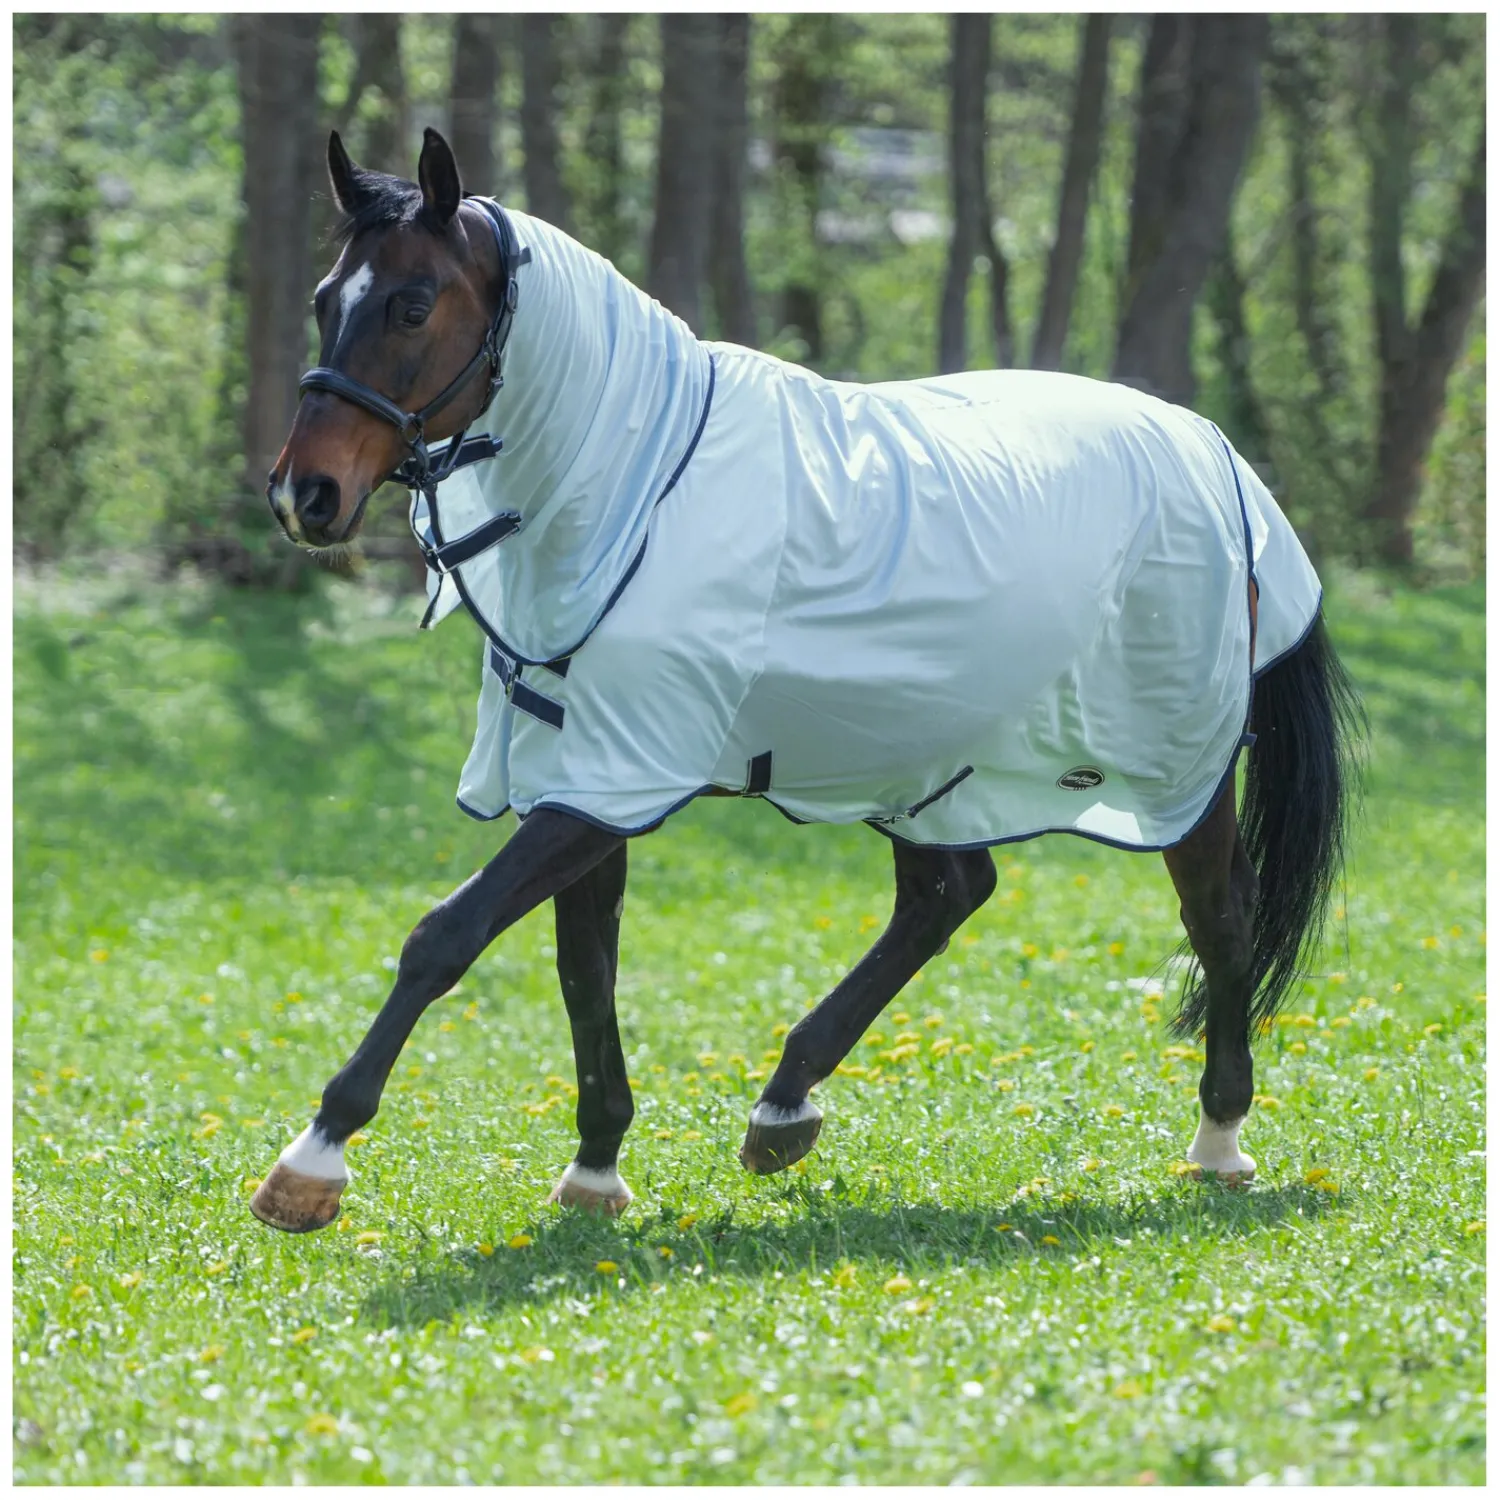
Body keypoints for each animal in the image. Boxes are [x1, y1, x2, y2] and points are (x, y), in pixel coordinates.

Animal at [250, 128, 1361, 1232]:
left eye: (412, 305)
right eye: (324, 297)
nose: (305, 495)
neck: (633, 486)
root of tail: (1209, 448)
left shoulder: (613, 778)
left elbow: (446, 936)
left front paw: (316, 1156)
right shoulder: (587, 776)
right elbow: (583, 970)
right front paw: (598, 1166)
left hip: (1179, 769)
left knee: (1219, 920)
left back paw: (1218, 1141)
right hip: (927, 761)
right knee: (947, 895)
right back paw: (785, 1102)